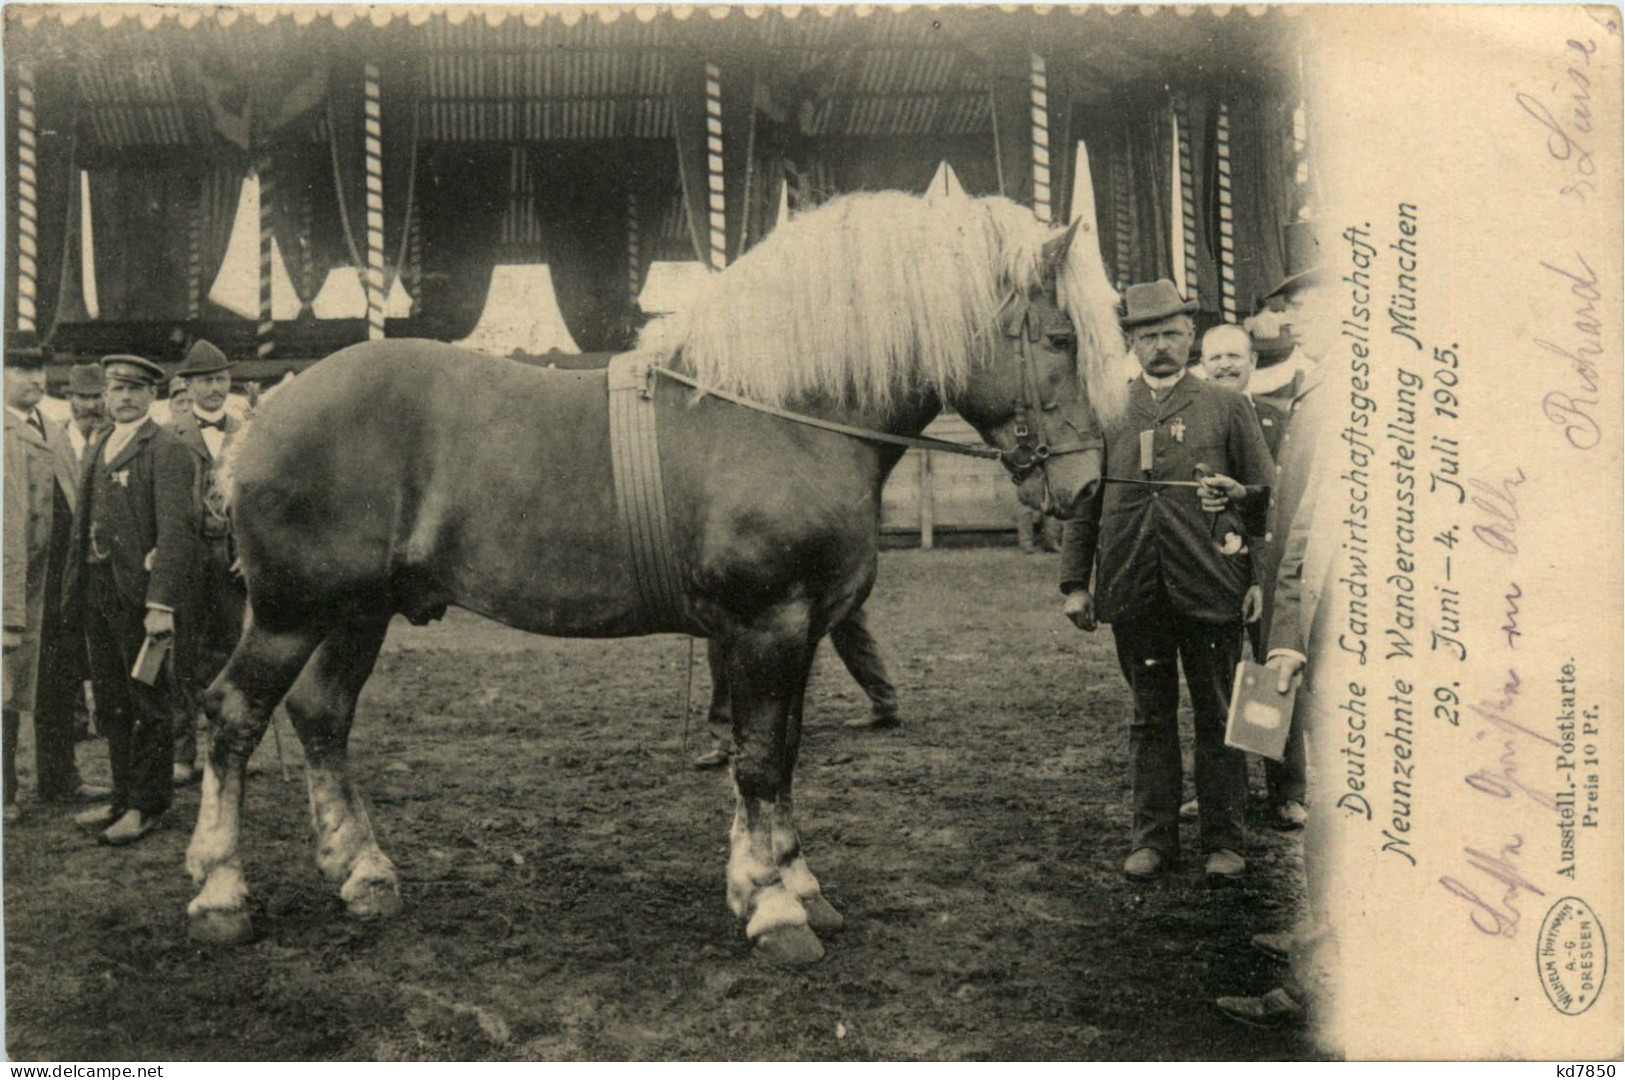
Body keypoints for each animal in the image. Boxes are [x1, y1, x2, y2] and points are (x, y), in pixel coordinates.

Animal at [190, 189, 1124, 961]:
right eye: (1059, 338)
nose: (1085, 487)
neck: (782, 413)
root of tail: (260, 416)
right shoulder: (767, 625)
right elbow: (759, 763)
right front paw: (775, 913)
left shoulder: (798, 632)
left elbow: (781, 754)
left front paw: (789, 887)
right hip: (292, 613)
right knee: (234, 715)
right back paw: (221, 895)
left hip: (359, 613)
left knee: (321, 717)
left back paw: (362, 875)